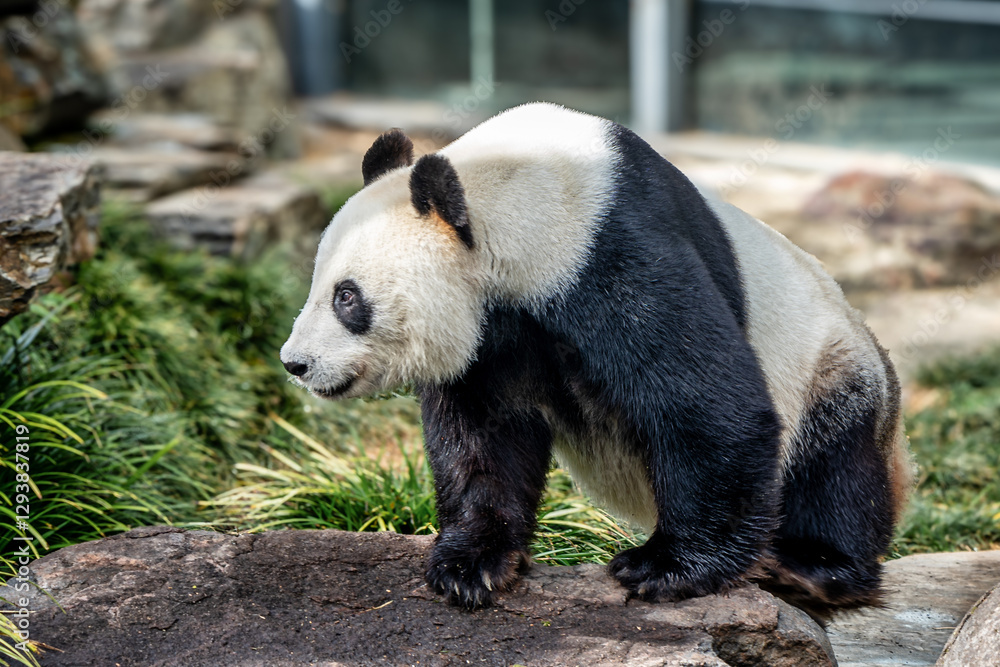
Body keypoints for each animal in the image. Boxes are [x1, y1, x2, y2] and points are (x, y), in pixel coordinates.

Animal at [280, 102, 914, 619]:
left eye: (346, 297)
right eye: (317, 285)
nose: (296, 363)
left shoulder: (609, 252)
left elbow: (705, 404)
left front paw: (664, 568)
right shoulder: (491, 333)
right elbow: (483, 434)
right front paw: (470, 564)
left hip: (831, 362)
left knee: (836, 468)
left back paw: (812, 568)